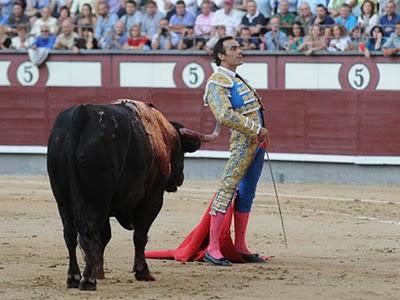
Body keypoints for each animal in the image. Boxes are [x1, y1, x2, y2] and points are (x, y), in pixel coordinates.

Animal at [47, 101, 219, 290]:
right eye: (181, 151)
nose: (180, 178)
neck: (162, 134)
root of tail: (82, 113)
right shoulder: (152, 199)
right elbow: (140, 235)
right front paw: (142, 272)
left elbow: (105, 236)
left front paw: (99, 271)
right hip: (96, 199)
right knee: (89, 233)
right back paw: (88, 281)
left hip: (62, 198)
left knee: (71, 234)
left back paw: (74, 277)